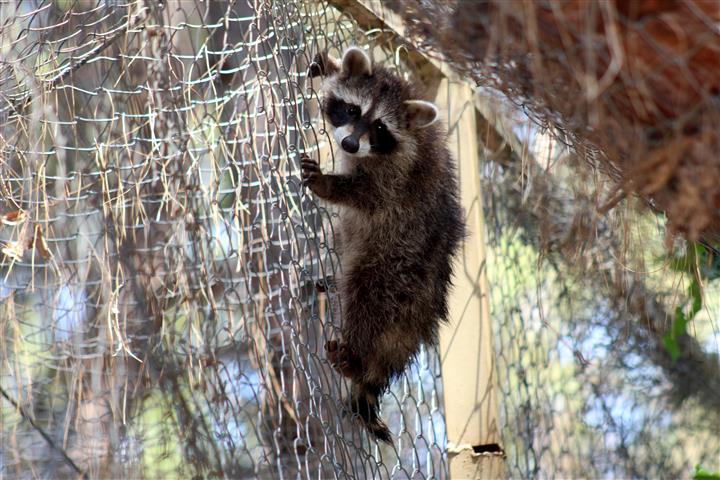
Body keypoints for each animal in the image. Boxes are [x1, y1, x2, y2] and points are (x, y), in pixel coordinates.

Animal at [302, 47, 462, 442]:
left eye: (379, 128)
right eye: (352, 110)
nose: (348, 144)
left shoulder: (401, 176)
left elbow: (371, 197)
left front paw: (330, 184)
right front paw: (329, 63)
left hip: (397, 266)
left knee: (367, 298)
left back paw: (357, 359)